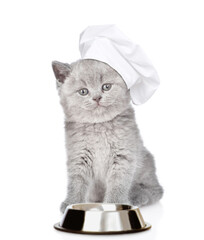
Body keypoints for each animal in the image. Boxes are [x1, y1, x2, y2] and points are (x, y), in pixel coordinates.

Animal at [51, 59, 163, 213]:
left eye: (106, 87)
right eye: (83, 91)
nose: (97, 97)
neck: (99, 126)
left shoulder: (122, 157)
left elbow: (118, 185)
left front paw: (114, 205)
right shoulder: (78, 156)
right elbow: (76, 182)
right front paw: (71, 203)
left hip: (146, 164)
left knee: (155, 190)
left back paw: (136, 196)